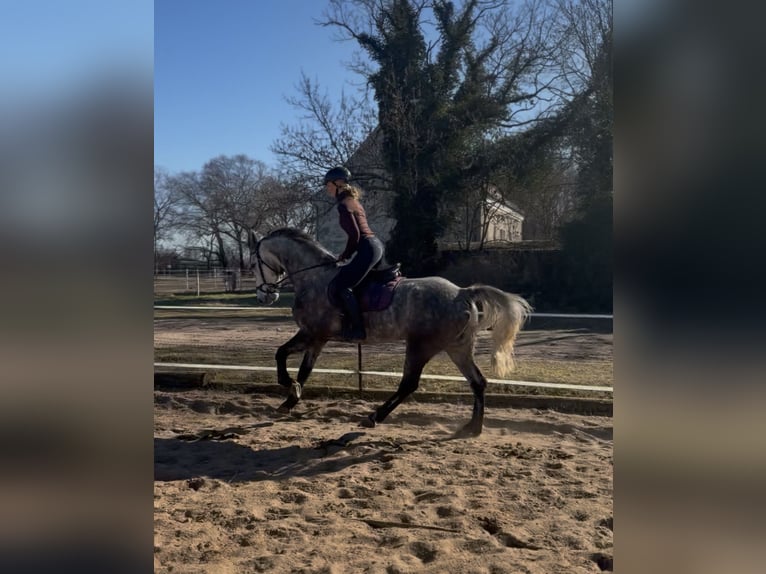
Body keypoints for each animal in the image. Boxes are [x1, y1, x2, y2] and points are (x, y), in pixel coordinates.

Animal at [248, 227, 531, 437]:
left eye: (252, 264)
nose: (265, 295)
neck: (314, 278)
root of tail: (462, 292)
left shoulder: (312, 333)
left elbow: (284, 357)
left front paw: (289, 387)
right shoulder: (317, 338)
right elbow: (300, 367)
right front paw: (290, 399)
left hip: (421, 346)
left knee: (409, 384)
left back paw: (374, 416)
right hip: (458, 347)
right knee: (477, 382)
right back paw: (472, 427)